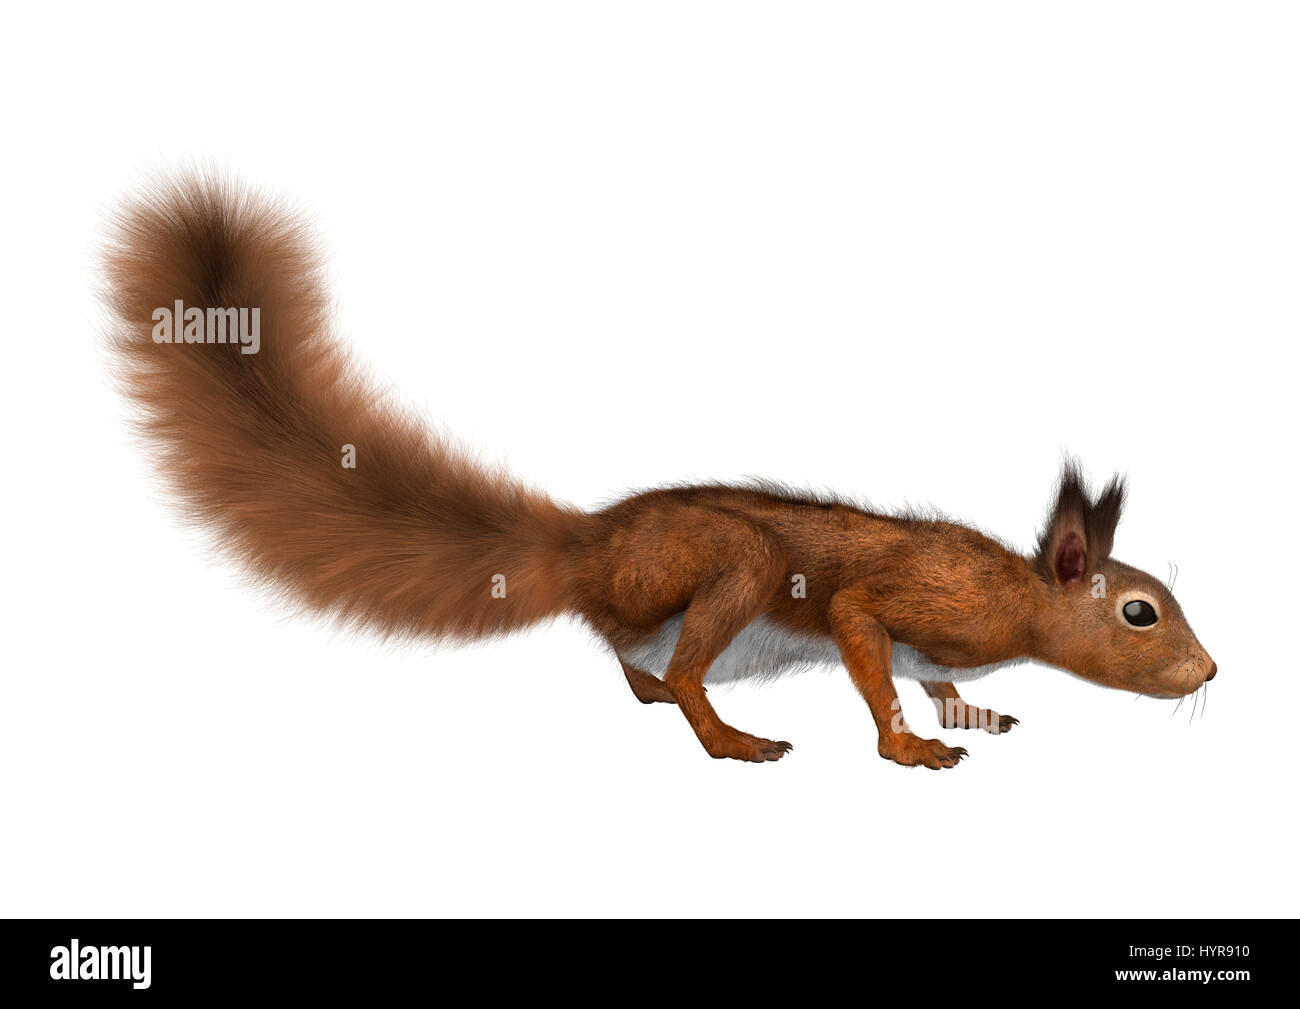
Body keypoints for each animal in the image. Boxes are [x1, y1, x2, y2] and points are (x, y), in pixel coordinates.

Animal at [100, 170, 1216, 770]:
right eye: (1140, 613)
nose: (1208, 673)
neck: (1019, 602)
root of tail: (586, 548)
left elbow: (933, 682)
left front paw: (967, 709)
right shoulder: (901, 602)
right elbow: (871, 653)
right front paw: (911, 748)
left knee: (635, 665)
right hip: (726, 568)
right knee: (681, 668)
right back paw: (729, 738)